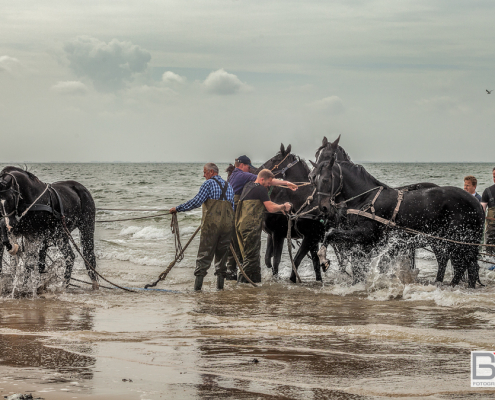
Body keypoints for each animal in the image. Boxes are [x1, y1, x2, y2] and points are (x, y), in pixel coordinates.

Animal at [314, 138, 484, 288]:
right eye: (316, 180)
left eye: (325, 180)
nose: (323, 208)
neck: (366, 198)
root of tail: (476, 203)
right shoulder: (364, 242)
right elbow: (358, 264)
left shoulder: (365, 234)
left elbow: (331, 234)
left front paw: (324, 259)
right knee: (464, 265)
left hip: (458, 240)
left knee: (463, 265)